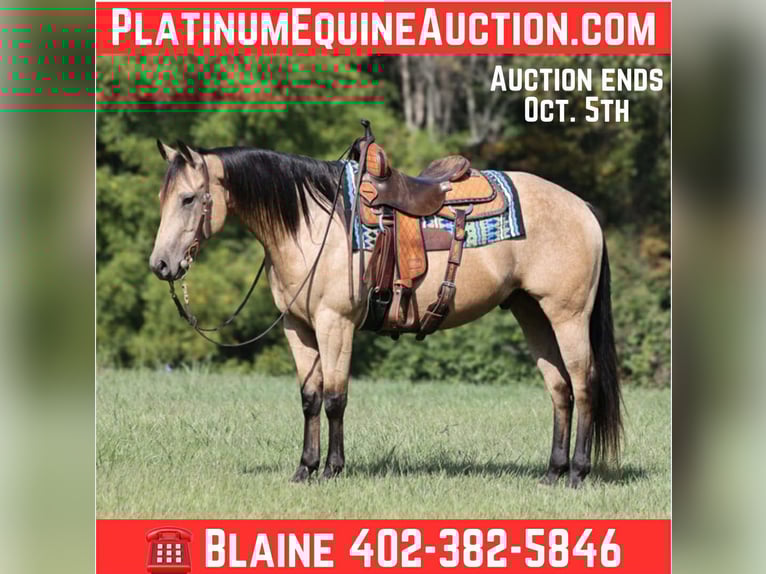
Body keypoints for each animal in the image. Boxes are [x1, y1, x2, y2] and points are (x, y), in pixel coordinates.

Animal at [149, 138, 622, 488]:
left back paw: (578, 473)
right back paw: (552, 473)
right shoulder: (298, 328)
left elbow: (335, 397)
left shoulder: (335, 323)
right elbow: (309, 398)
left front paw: (333, 470)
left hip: (567, 315)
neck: (313, 226)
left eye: (189, 198)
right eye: (162, 197)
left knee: (583, 384)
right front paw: (304, 468)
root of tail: (583, 209)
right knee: (559, 390)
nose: (161, 265)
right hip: (532, 314)